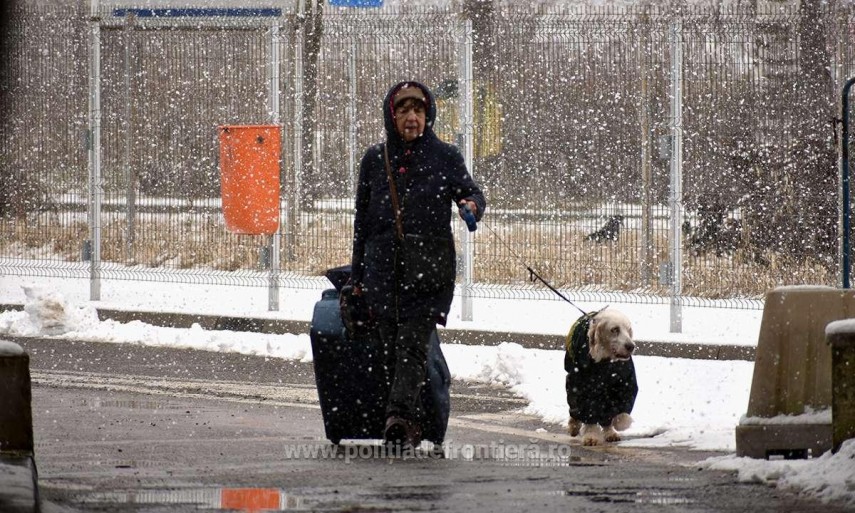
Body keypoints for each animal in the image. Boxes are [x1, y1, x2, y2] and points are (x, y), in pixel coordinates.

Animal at [564, 308, 640, 444]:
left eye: (628, 329)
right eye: (615, 329)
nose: (631, 346)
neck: (606, 361)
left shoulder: (624, 381)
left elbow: (621, 414)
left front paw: (616, 424)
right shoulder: (583, 384)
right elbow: (589, 412)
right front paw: (591, 436)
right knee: (574, 407)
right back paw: (574, 425)